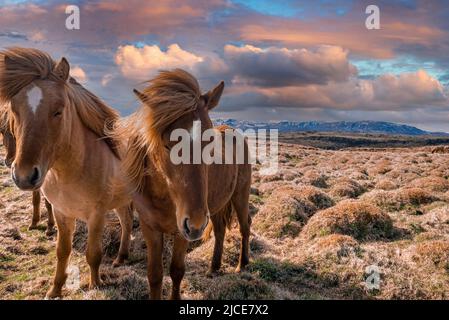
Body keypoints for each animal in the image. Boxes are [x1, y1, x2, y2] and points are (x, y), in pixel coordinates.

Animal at [0, 107, 54, 235]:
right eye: (2, 131)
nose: (9, 161)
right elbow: (35, 199)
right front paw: (34, 223)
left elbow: (48, 202)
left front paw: (50, 227)